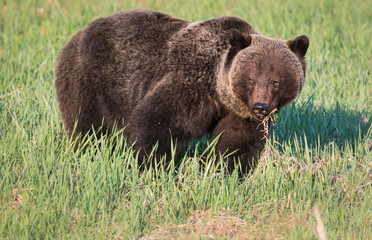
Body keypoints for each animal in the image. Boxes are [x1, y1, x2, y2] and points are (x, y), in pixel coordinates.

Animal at [55, 8, 310, 172]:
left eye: (276, 81)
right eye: (251, 79)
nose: (260, 108)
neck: (219, 92)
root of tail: (77, 33)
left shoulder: (238, 113)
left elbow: (234, 142)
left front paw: (221, 170)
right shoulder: (190, 85)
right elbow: (157, 123)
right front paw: (154, 166)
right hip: (89, 79)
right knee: (87, 126)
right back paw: (88, 153)